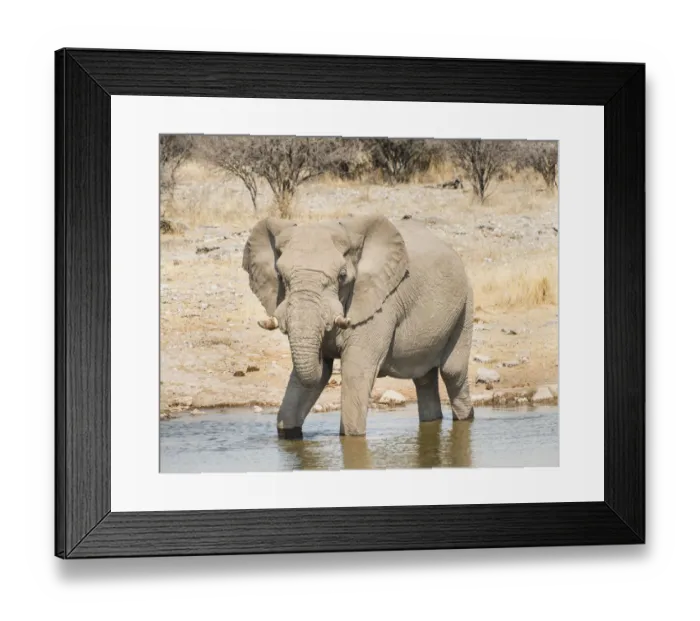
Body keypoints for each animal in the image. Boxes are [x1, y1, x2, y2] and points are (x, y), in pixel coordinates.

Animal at [242, 214, 474, 439]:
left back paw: (466, 418)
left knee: (452, 372)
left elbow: (355, 372)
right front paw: (289, 432)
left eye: (342, 276)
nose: (322, 352)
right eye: (281, 277)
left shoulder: (381, 305)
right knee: (424, 379)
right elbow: (310, 380)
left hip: (465, 304)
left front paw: (352, 436)